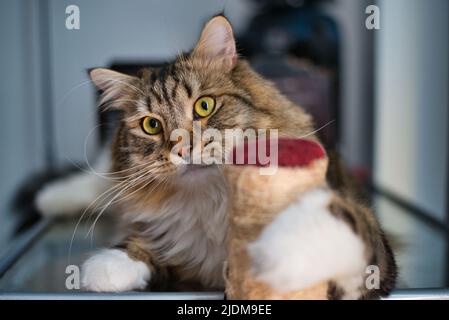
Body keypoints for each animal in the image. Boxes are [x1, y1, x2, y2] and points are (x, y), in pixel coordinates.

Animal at [36, 16, 394, 298]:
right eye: (152, 125)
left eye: (204, 106)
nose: (182, 149)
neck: (211, 203)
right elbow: (141, 245)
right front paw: (107, 267)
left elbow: (343, 226)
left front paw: (290, 246)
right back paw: (47, 200)